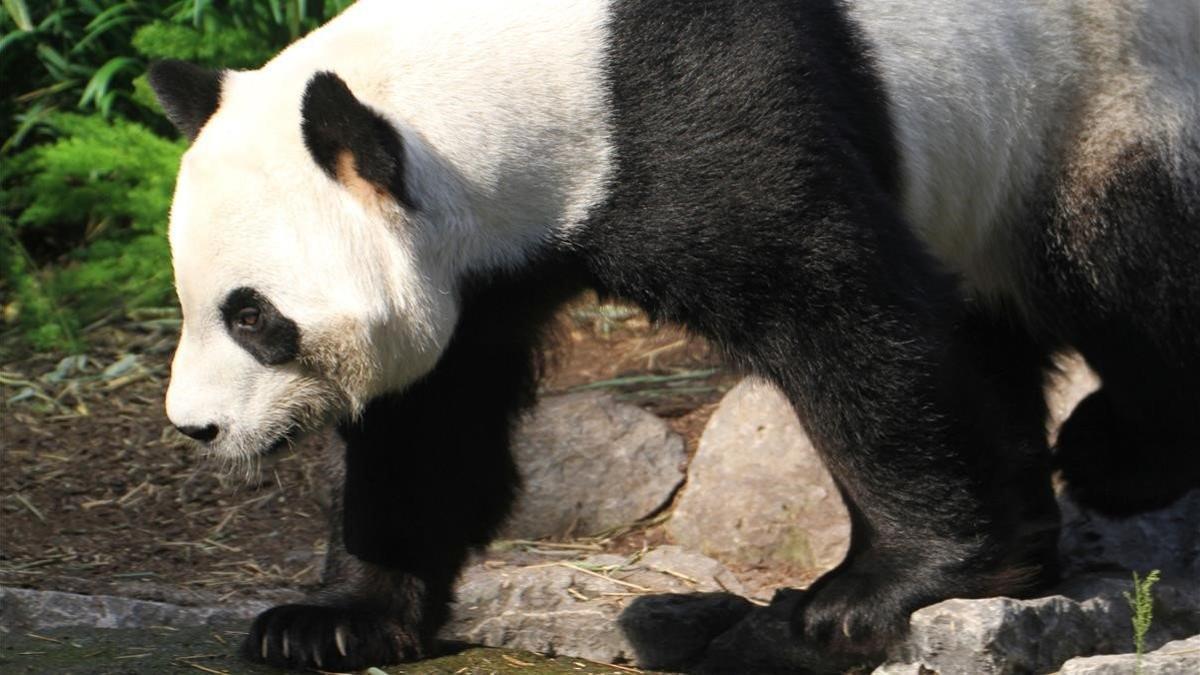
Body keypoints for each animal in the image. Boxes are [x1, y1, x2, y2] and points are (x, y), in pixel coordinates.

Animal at [150, 0, 1200, 667]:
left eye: (254, 315)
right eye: (194, 300)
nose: (196, 428)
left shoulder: (703, 119)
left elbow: (849, 317)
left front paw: (872, 594)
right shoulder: (485, 265)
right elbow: (430, 423)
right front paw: (326, 622)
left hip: (1107, 90)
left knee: (1126, 266)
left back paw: (1114, 456)